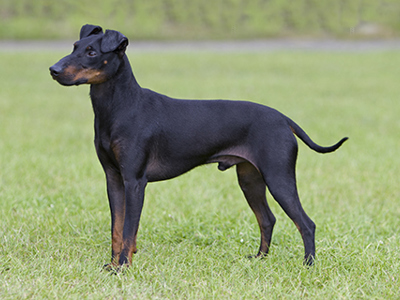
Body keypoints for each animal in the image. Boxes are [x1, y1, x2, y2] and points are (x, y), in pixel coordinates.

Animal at [49, 24, 346, 268]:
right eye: (74, 47)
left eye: (91, 52)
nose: (53, 70)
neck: (119, 107)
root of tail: (283, 119)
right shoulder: (114, 180)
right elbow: (117, 230)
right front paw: (112, 265)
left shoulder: (134, 182)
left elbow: (129, 230)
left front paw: (122, 267)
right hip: (250, 179)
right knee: (267, 219)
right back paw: (260, 259)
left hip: (278, 178)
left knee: (306, 223)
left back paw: (308, 265)